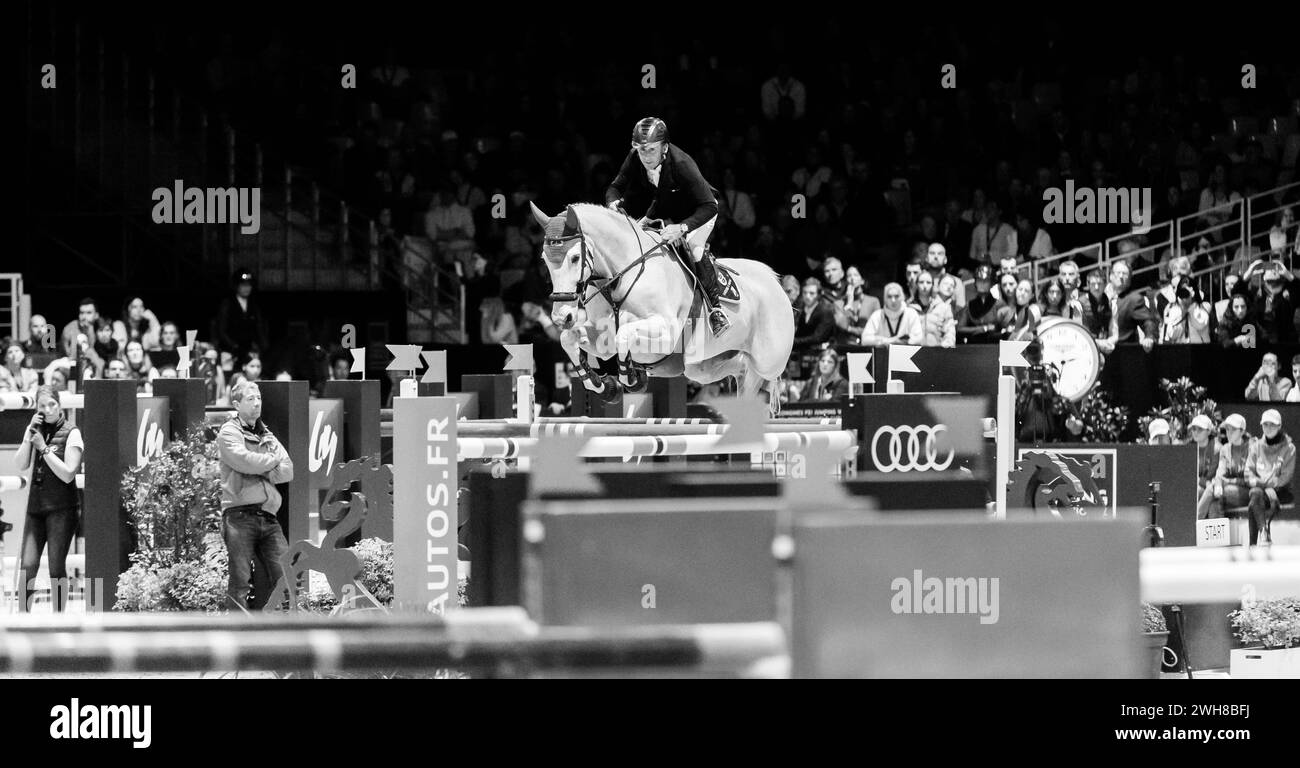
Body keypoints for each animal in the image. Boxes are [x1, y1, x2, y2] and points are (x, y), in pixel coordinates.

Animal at [527, 201, 790, 410]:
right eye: (544, 259)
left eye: (574, 258)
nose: (562, 317)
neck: (619, 276)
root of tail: (775, 281)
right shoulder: (602, 340)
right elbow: (568, 339)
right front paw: (606, 386)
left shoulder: (667, 333)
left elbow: (625, 331)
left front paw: (632, 378)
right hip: (700, 367)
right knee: (740, 369)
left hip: (767, 361)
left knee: (763, 376)